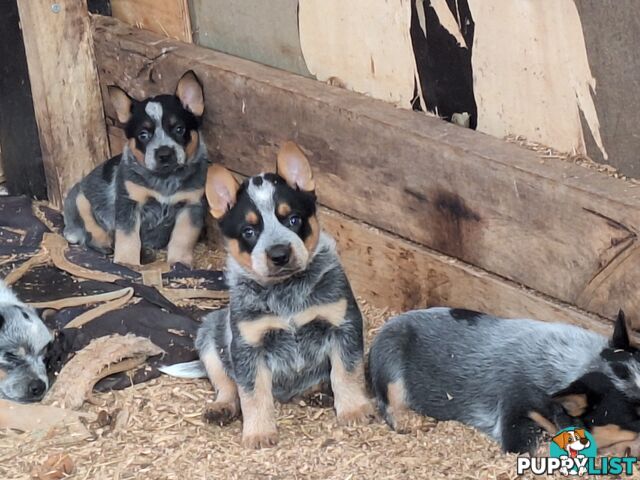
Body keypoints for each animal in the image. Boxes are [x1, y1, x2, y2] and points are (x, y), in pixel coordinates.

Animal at [64, 71, 208, 266]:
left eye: (179, 129)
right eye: (143, 135)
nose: (164, 153)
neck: (165, 181)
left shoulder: (191, 205)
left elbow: (183, 238)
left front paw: (179, 263)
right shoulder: (129, 203)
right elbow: (128, 238)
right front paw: (127, 262)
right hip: (79, 198)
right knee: (89, 230)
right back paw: (104, 243)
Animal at [161, 141, 376, 448]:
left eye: (294, 219)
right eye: (249, 231)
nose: (279, 254)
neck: (286, 293)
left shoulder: (342, 323)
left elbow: (346, 372)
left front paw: (354, 410)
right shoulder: (249, 344)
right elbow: (252, 394)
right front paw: (259, 433)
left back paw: (317, 391)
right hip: (209, 334)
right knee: (226, 383)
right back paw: (221, 407)